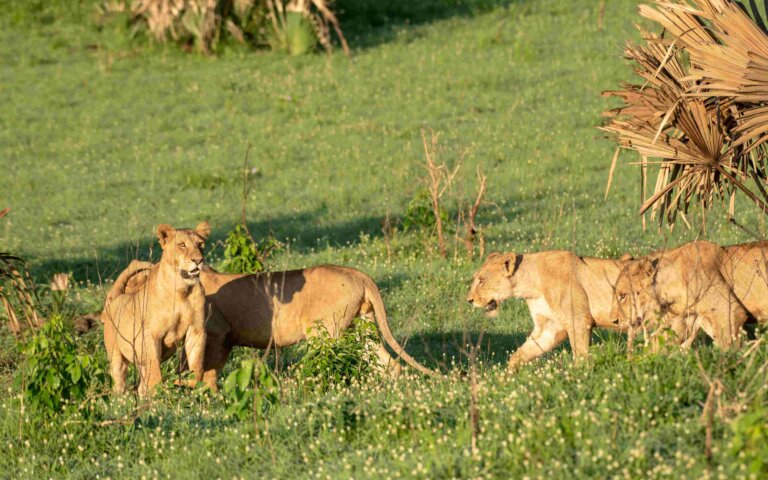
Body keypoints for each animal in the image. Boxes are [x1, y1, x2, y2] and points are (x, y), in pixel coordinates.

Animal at [101, 222, 210, 396]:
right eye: (181, 245)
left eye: (200, 244)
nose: (198, 260)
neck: (181, 290)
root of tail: (117, 297)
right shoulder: (151, 335)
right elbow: (156, 372)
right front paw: (160, 394)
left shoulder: (197, 330)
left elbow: (196, 364)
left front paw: (194, 390)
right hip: (116, 356)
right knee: (119, 384)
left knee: (141, 383)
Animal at [466, 250, 633, 369]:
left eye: (481, 281)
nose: (469, 300)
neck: (532, 286)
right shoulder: (549, 328)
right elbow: (520, 354)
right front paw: (507, 380)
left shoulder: (579, 320)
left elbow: (580, 355)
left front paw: (580, 376)